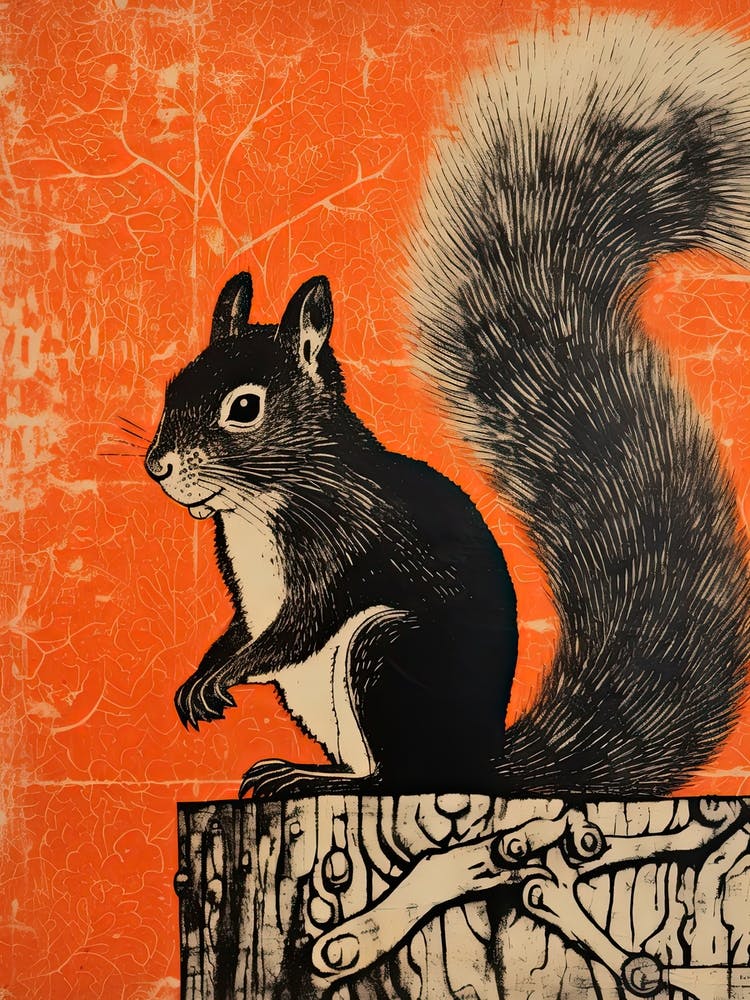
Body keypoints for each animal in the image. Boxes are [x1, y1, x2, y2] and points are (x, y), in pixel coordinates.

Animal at [146, 12, 750, 799]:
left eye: (243, 408)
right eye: (173, 387)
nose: (158, 466)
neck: (261, 502)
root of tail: (483, 764)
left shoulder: (342, 542)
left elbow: (295, 627)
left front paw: (226, 672)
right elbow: (244, 626)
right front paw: (205, 669)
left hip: (387, 654)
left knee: (397, 776)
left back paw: (324, 781)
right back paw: (303, 769)